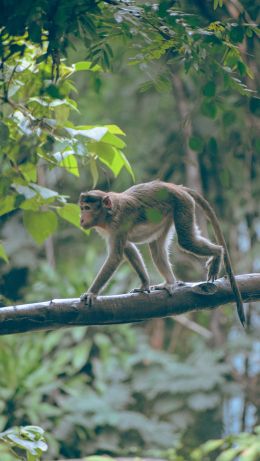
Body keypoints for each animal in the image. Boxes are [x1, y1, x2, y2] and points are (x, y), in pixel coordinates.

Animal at [79, 180, 246, 328]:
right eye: (81, 208)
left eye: (87, 208)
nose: (81, 219)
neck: (108, 214)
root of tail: (175, 186)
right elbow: (128, 248)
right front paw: (144, 284)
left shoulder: (118, 223)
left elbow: (115, 257)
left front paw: (92, 293)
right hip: (168, 214)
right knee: (157, 248)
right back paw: (171, 282)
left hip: (182, 204)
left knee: (186, 241)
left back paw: (218, 253)